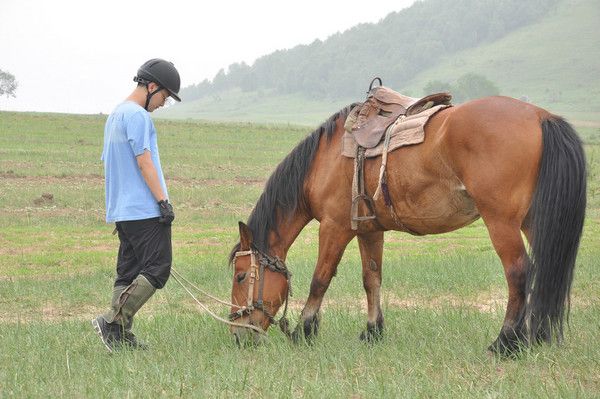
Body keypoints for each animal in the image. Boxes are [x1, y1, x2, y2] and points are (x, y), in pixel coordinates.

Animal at [229, 96, 584, 356]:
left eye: (241, 275)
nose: (237, 335)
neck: (324, 159)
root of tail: (540, 116)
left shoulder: (335, 227)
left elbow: (321, 279)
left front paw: (305, 330)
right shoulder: (369, 230)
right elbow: (371, 278)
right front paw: (372, 331)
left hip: (502, 222)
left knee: (518, 273)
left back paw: (505, 343)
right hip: (532, 222)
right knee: (545, 270)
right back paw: (538, 337)